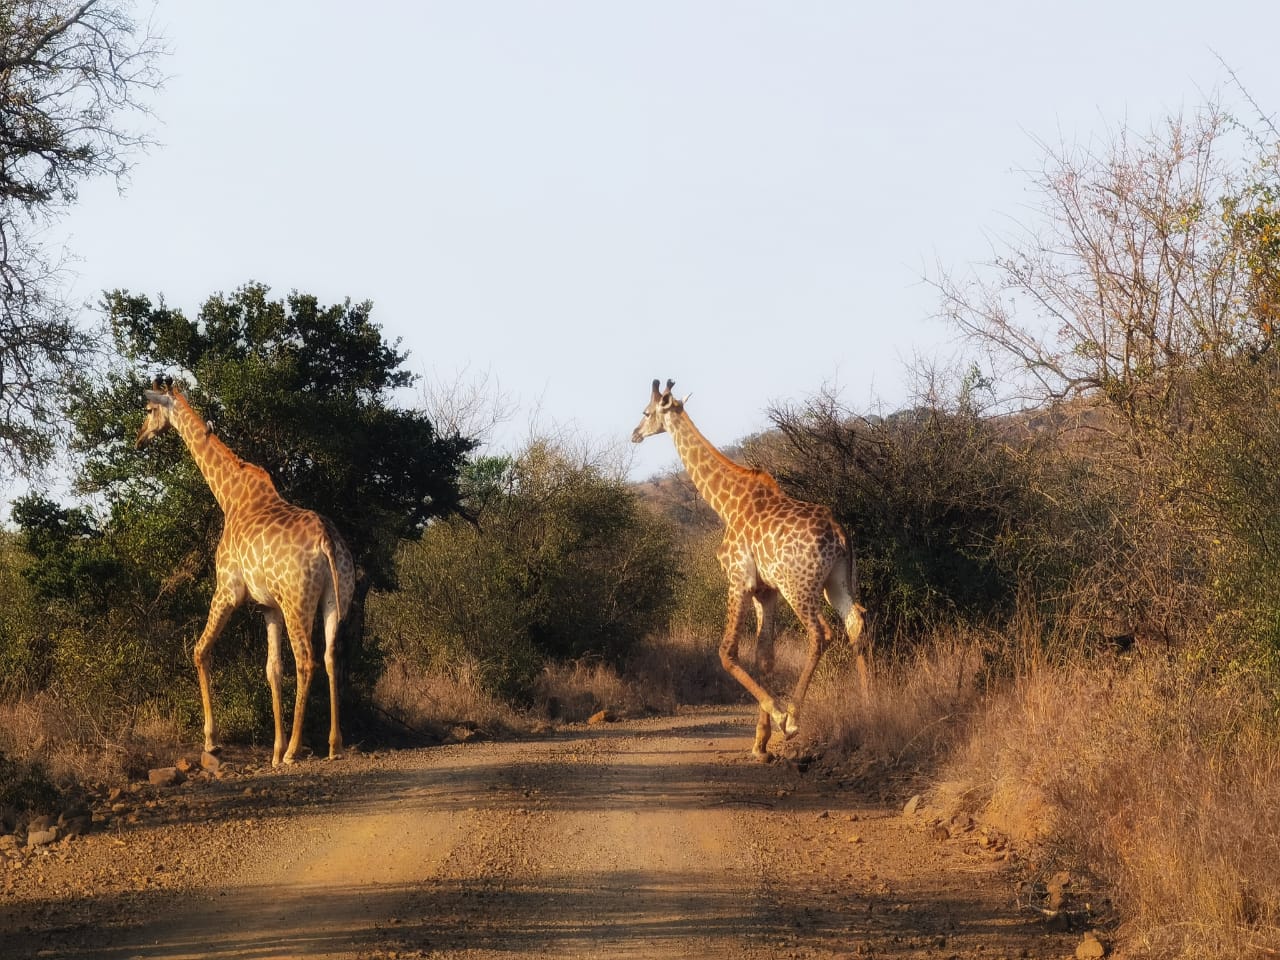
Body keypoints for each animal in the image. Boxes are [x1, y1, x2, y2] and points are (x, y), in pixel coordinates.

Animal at [136, 378, 355, 773]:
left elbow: (200, 650)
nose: (139, 439)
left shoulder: (228, 590)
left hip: (297, 601)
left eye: (148, 410)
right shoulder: (267, 607)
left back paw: (296, 750)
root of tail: (328, 542)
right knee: (331, 657)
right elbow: (272, 669)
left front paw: (213, 741)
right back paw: (333, 745)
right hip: (336, 598)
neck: (230, 496)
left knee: (307, 660)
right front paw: (273, 751)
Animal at [632, 378, 870, 757]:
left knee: (821, 633)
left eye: (646, 411)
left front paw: (778, 717)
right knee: (855, 624)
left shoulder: (738, 580)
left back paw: (794, 717)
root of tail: (839, 533)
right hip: (837, 581)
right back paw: (870, 706)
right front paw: (760, 742)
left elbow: (727, 652)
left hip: (799, 585)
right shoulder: (765, 591)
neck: (726, 503)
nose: (634, 434)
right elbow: (764, 657)